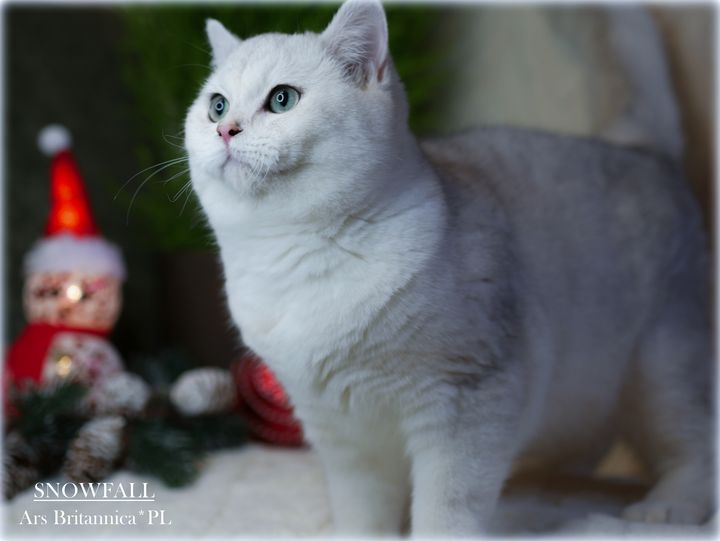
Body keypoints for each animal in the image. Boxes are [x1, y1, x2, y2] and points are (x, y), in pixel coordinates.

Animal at [185, 0, 713, 535]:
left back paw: (666, 507)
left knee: (694, 444)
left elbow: (446, 508)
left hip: (663, 365)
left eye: (282, 100)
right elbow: (362, 511)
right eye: (217, 106)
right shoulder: (343, 435)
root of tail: (641, 149)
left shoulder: (467, 404)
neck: (292, 260)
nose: (226, 130)